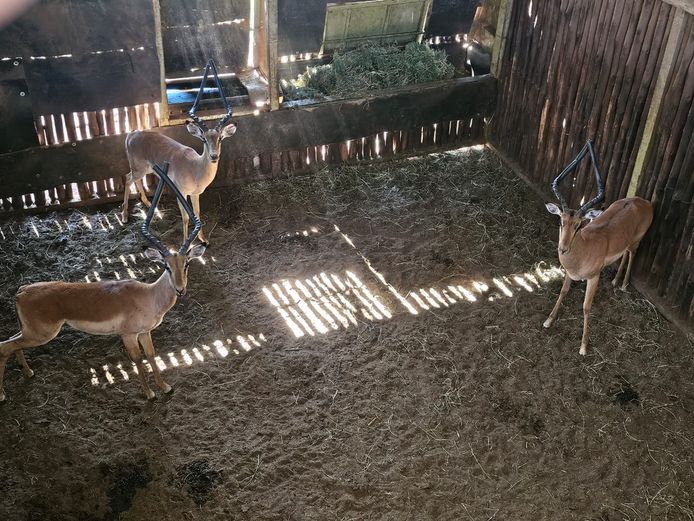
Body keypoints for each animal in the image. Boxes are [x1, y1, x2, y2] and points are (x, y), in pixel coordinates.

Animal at [0, 164, 206, 401]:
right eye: (166, 266)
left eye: (186, 264)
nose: (180, 290)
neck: (148, 296)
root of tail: (22, 291)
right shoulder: (128, 335)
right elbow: (138, 360)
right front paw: (149, 394)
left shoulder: (145, 333)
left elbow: (152, 356)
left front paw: (165, 387)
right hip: (41, 334)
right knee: (4, 347)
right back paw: (3, 394)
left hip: (30, 332)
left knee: (11, 343)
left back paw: (29, 372)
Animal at [122, 109, 236, 245]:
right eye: (204, 139)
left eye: (220, 138)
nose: (214, 156)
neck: (194, 168)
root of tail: (132, 134)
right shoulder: (181, 193)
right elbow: (185, 217)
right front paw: (186, 243)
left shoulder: (195, 194)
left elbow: (197, 213)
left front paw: (203, 239)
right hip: (139, 169)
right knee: (128, 178)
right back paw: (124, 217)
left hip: (145, 170)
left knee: (136, 180)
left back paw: (149, 204)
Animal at [543, 141, 653, 355]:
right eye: (561, 220)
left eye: (579, 225)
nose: (563, 249)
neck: (583, 249)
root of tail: (644, 202)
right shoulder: (569, 273)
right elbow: (563, 291)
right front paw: (549, 320)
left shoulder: (593, 278)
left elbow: (586, 307)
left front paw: (584, 346)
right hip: (627, 241)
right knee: (625, 253)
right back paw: (615, 281)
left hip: (636, 241)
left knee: (632, 254)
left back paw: (624, 285)